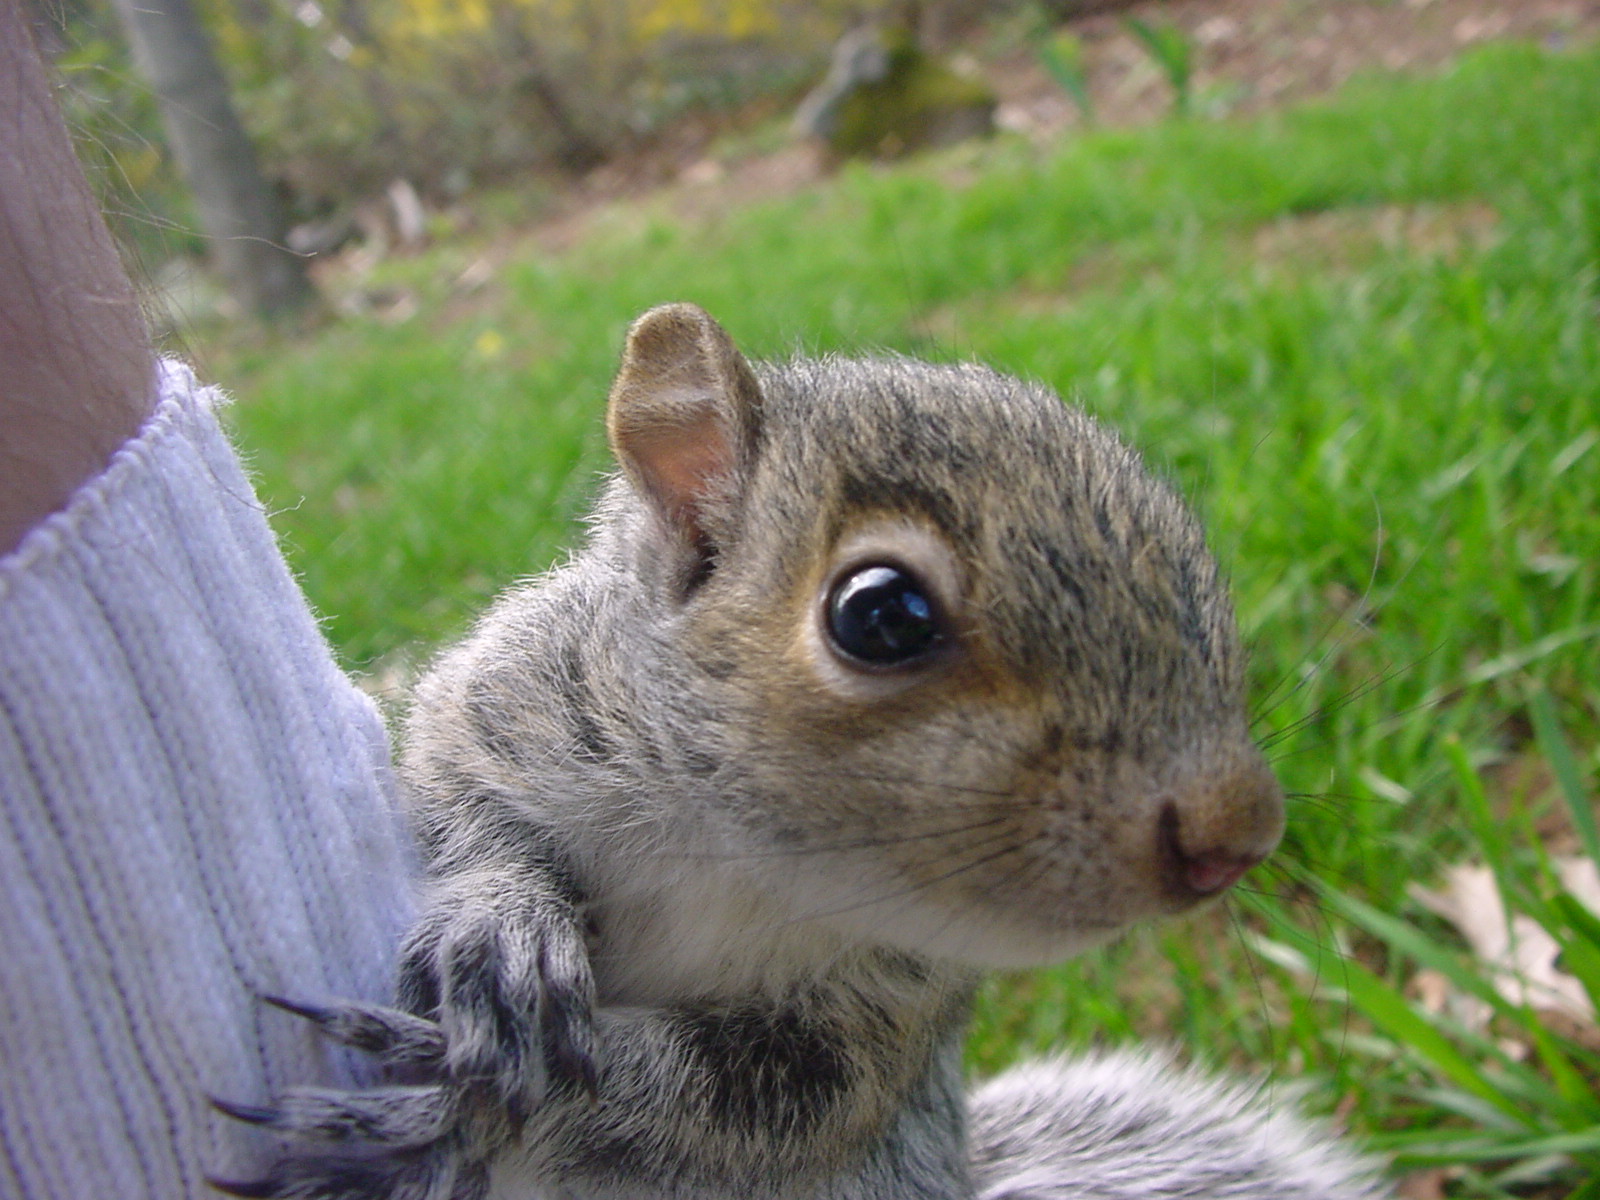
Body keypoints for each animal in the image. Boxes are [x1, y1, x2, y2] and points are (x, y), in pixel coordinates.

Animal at [212, 302, 1388, 1200]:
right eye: (880, 616)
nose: (1238, 830)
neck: (741, 862)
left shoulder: (881, 1011)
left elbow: (758, 1108)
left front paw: (492, 1102)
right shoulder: (520, 704)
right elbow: (451, 784)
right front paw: (501, 924)